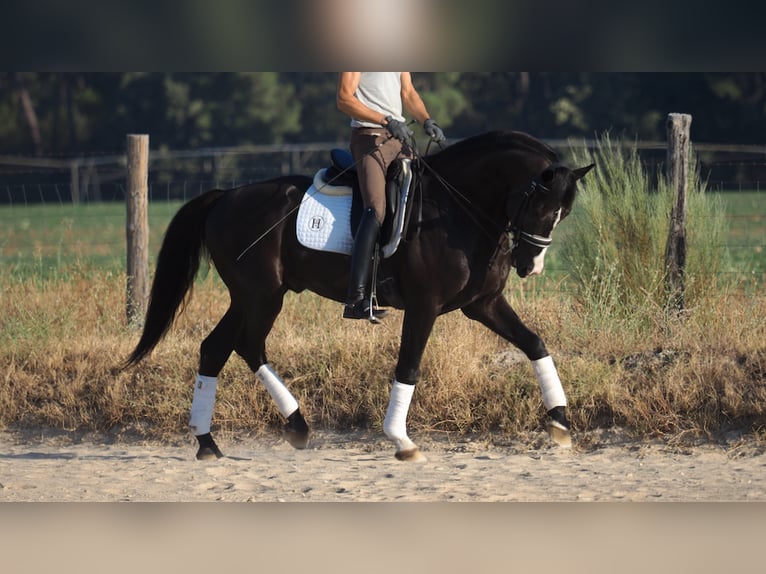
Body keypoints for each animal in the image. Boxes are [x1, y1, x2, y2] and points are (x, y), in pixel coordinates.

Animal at [124, 132, 592, 464]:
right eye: (541, 207)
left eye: (564, 213)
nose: (531, 266)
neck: (457, 209)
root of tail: (226, 196)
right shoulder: (424, 307)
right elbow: (409, 367)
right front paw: (401, 440)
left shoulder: (483, 305)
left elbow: (534, 343)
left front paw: (560, 421)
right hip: (261, 296)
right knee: (246, 345)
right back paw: (284, 427)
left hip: (250, 297)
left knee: (219, 348)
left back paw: (216, 441)